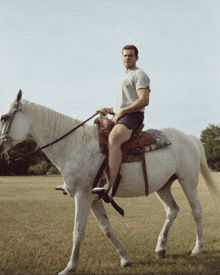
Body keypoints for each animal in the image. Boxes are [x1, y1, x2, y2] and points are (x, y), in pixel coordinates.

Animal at [0, 90, 220, 275]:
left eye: (5, 117)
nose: (1, 148)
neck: (73, 145)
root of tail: (190, 137)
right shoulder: (95, 199)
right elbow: (106, 229)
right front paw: (125, 259)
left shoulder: (82, 196)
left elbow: (78, 231)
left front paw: (70, 267)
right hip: (163, 185)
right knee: (172, 210)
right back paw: (160, 248)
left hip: (188, 179)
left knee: (196, 210)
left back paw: (197, 248)